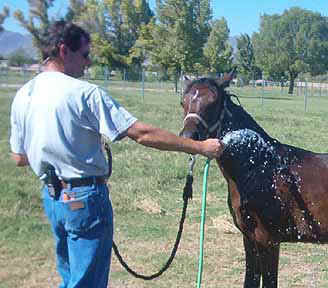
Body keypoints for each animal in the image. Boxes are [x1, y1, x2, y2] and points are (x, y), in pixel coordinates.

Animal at [181, 71, 328, 286]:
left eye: (213, 102)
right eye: (182, 102)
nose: (189, 136)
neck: (259, 166)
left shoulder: (268, 241)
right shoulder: (249, 238)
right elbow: (250, 279)